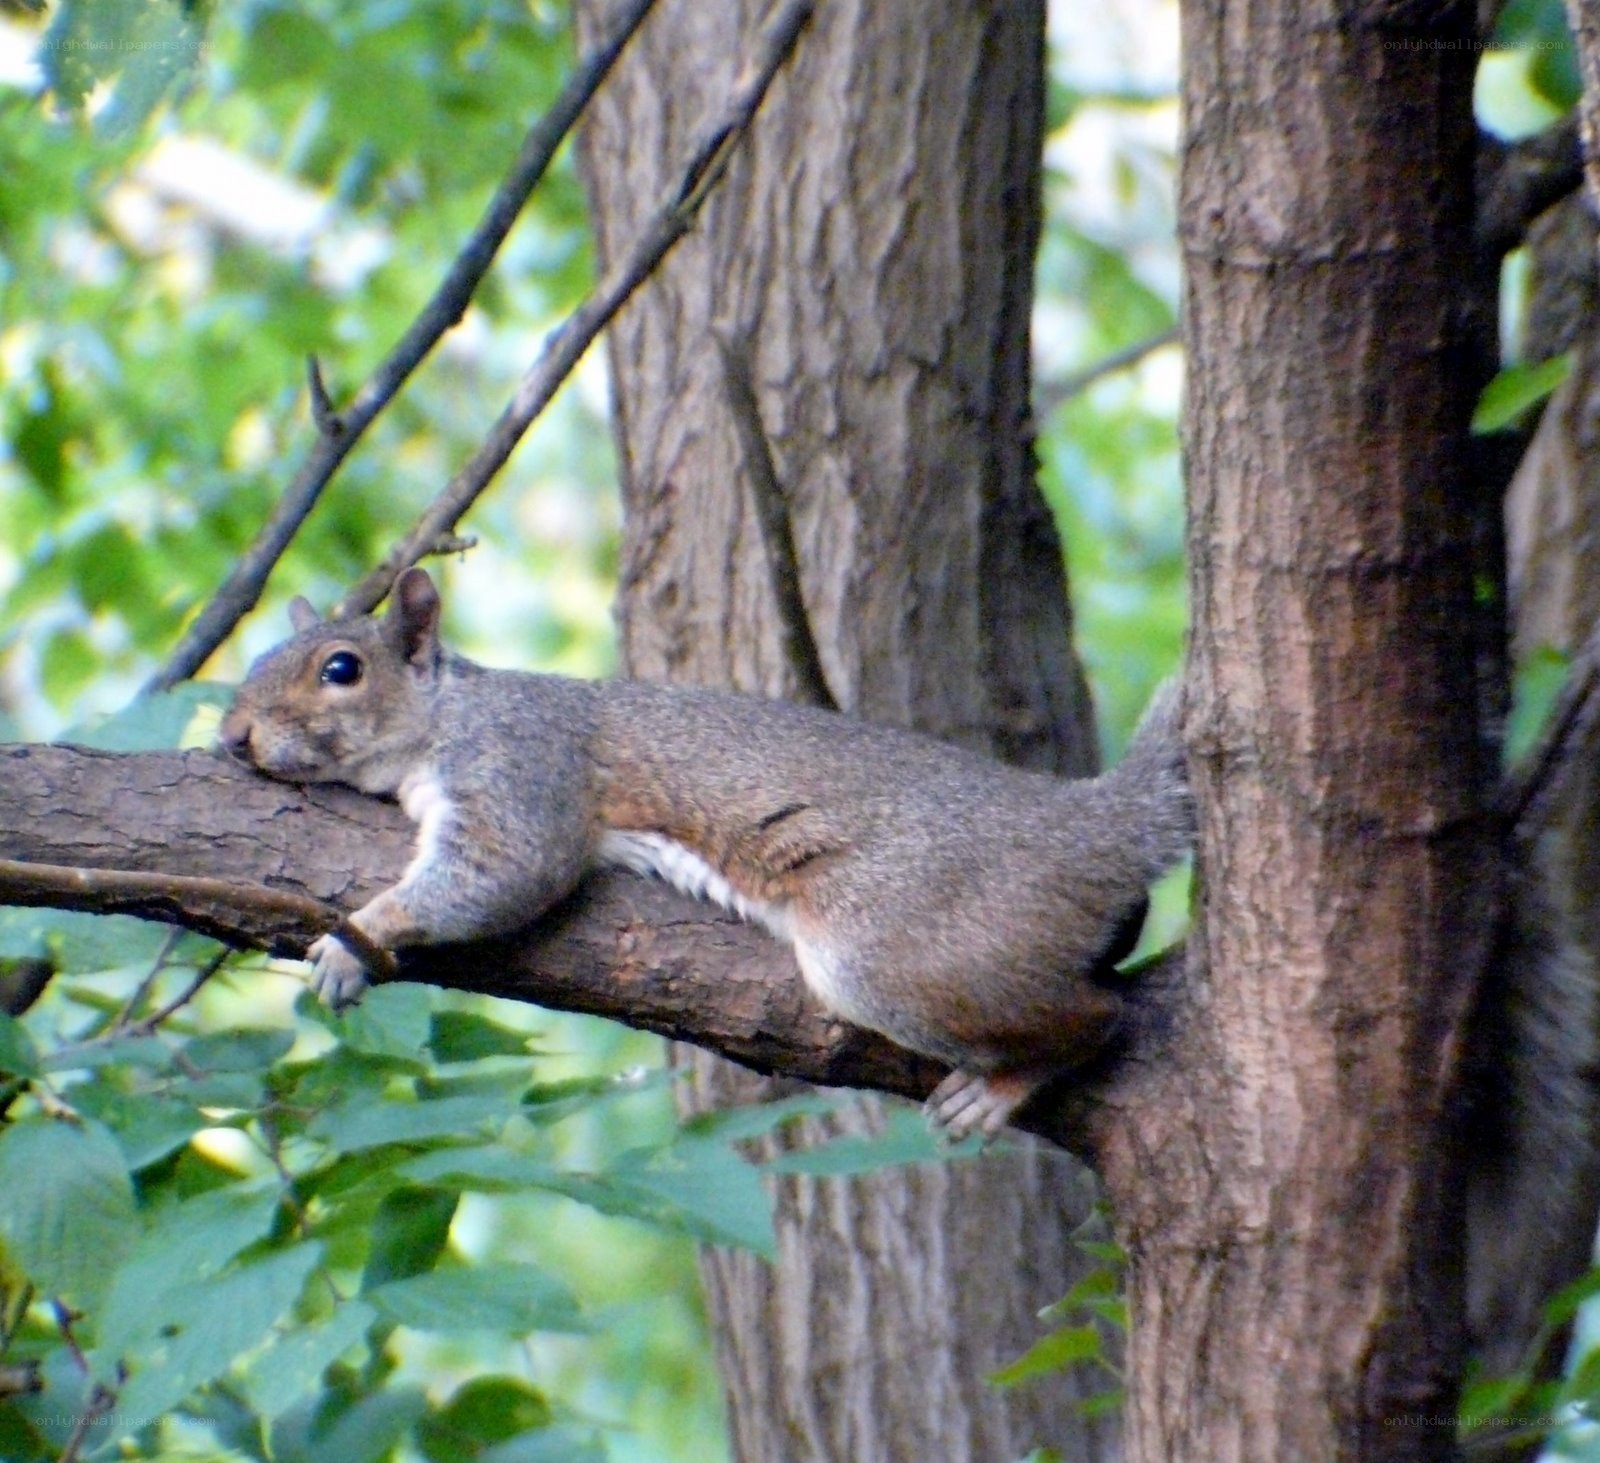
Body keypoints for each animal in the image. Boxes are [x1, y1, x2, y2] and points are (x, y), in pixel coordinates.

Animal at [218, 567, 1194, 1141]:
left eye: (340, 669)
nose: (233, 736)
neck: (445, 714)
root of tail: (1093, 828)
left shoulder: (523, 766)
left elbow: (502, 871)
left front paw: (357, 938)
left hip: (897, 951)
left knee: (1100, 1017)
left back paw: (1010, 1079)